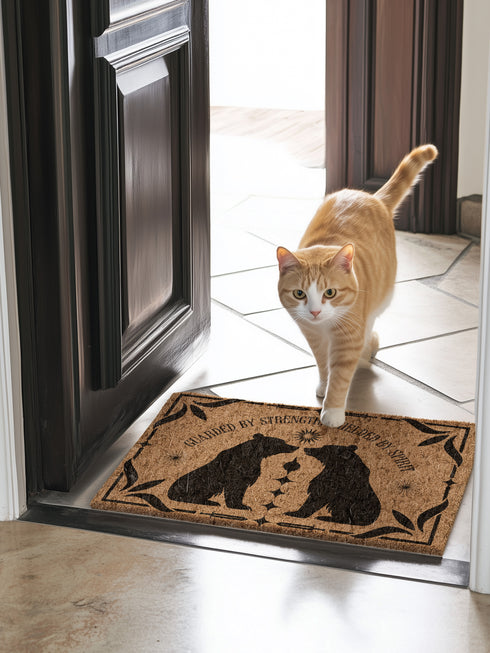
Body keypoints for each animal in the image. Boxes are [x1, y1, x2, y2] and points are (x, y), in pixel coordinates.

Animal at [167, 433, 298, 510]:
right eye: (282, 442)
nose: (295, 447)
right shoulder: (234, 474)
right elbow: (233, 490)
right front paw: (238, 506)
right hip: (198, 483)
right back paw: (211, 502)